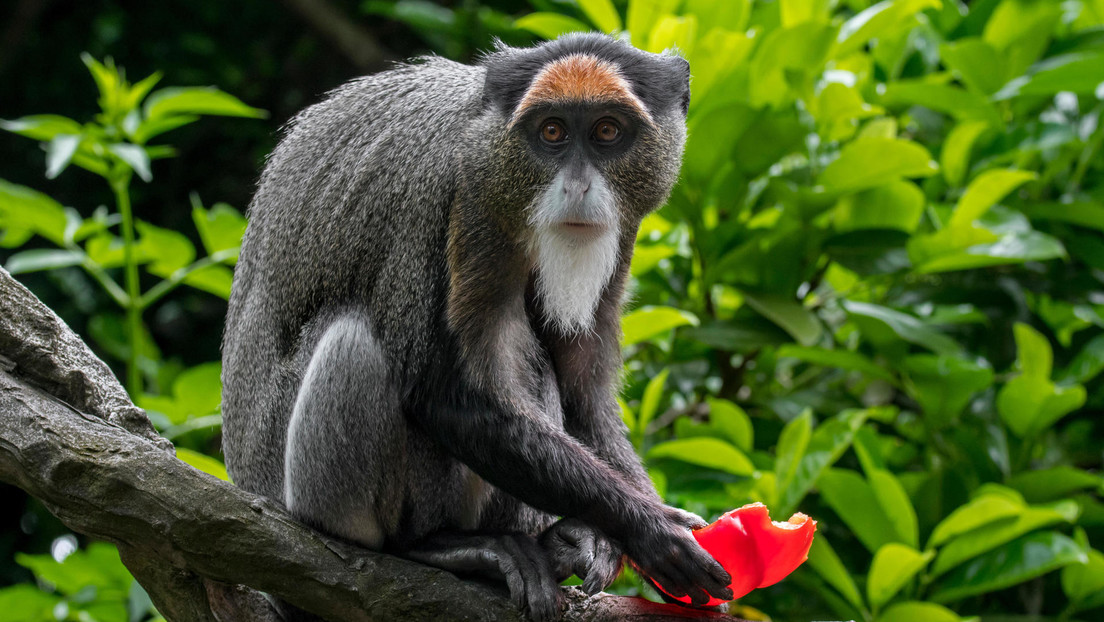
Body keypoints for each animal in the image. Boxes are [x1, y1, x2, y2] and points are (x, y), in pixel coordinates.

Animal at [218, 31, 728, 618]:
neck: (490, 150)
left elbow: (583, 394)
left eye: (606, 131)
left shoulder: (622, 232)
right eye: (552, 132)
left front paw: (624, 537)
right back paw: (432, 547)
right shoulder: (455, 200)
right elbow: (446, 394)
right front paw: (651, 531)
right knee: (357, 343)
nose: (578, 187)